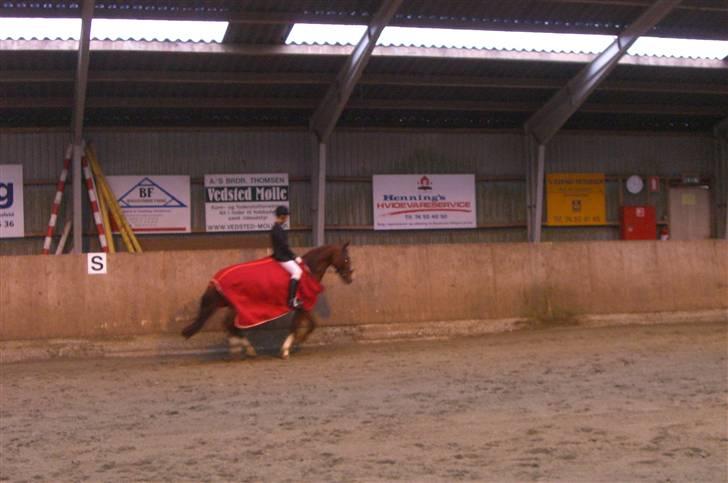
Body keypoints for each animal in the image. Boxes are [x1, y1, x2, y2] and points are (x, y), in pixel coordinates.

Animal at [181, 242, 352, 360]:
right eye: (346, 259)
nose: (350, 278)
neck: (308, 270)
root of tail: (216, 278)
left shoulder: (301, 307)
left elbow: (302, 324)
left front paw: (290, 345)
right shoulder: (303, 305)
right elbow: (308, 325)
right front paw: (290, 346)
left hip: (234, 306)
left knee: (228, 324)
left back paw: (241, 348)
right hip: (238, 306)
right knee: (230, 324)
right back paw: (243, 348)